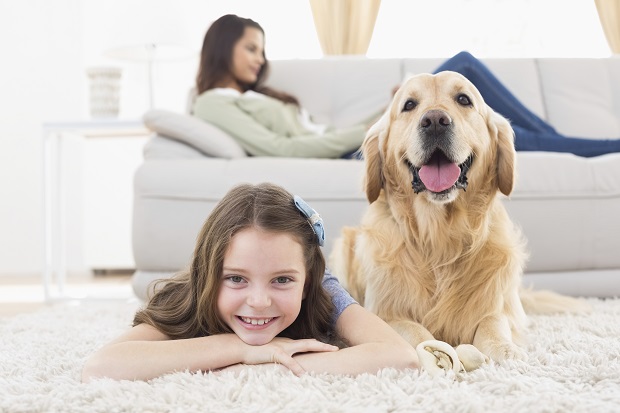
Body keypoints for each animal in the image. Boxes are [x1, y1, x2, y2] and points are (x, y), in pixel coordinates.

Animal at [330, 71, 588, 374]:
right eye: (409, 105)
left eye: (464, 99)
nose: (434, 121)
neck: (441, 238)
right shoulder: (384, 313)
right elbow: (415, 332)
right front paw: (435, 353)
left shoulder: (495, 305)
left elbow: (493, 323)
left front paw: (506, 351)